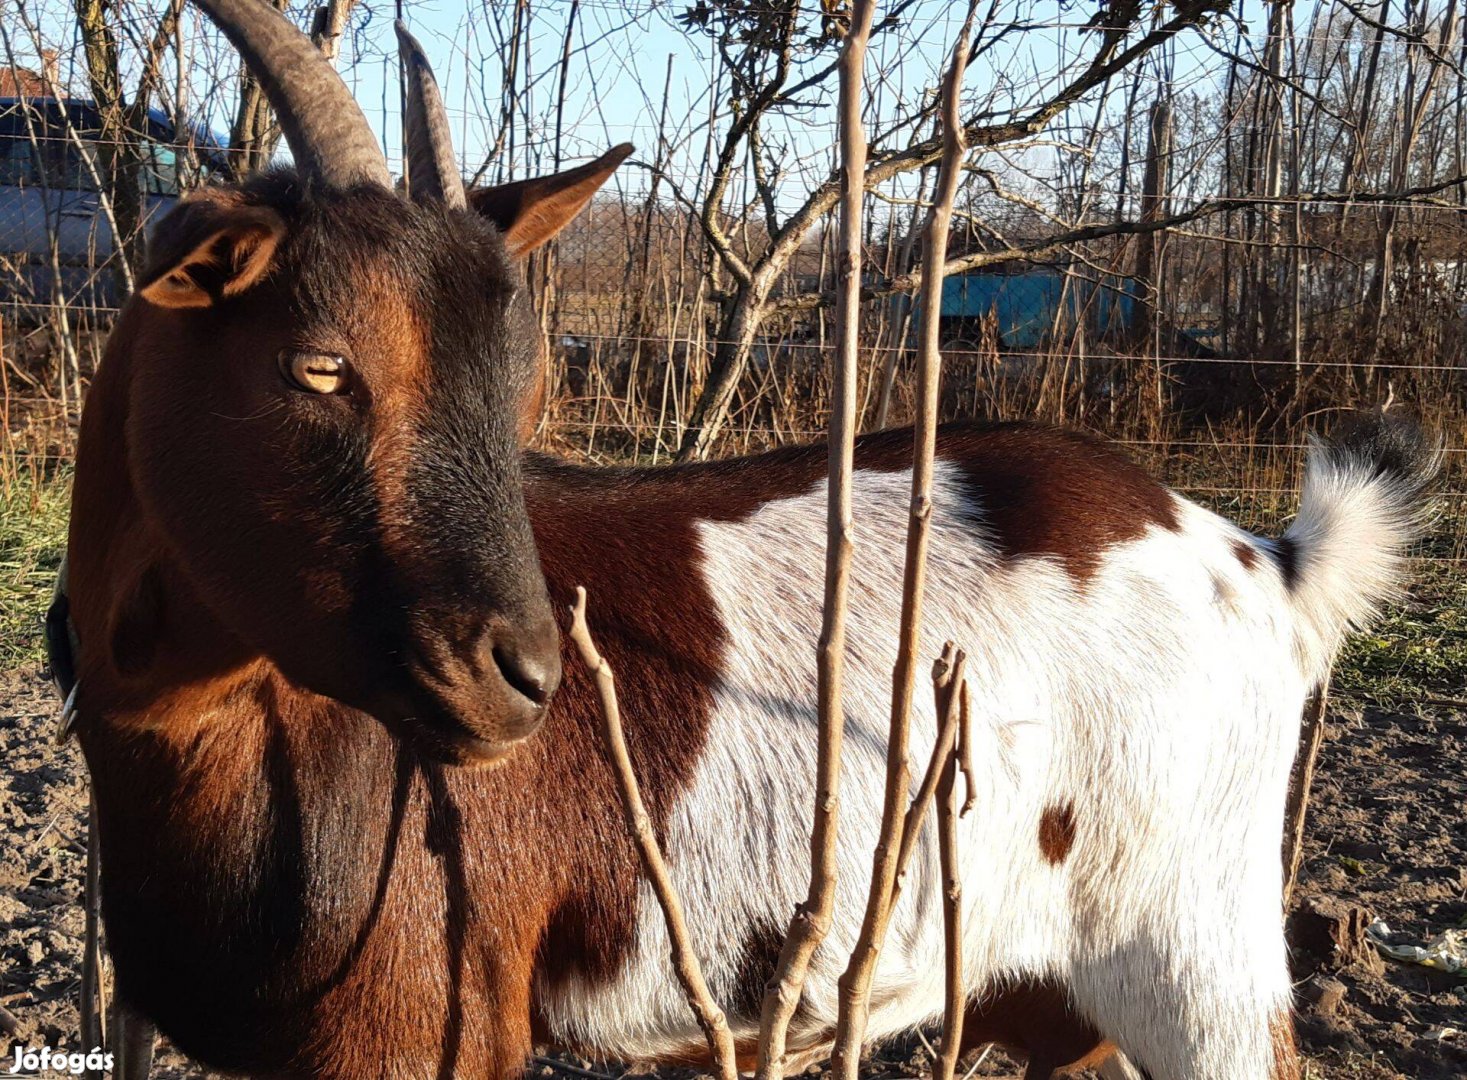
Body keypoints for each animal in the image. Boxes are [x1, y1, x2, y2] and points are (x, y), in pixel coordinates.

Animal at [63, 2, 1437, 1080]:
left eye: (523, 389)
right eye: (320, 365)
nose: (522, 679)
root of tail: (1261, 561)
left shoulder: (420, 1030)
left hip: (1198, 953)